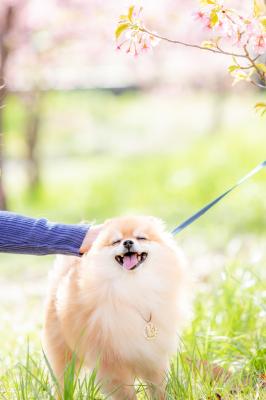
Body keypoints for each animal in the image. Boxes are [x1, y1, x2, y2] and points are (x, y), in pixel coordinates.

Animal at [42, 217, 190, 398]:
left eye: (141, 237)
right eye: (116, 241)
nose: (128, 242)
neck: (133, 284)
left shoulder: (154, 356)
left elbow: (159, 388)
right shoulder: (111, 361)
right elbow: (127, 393)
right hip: (64, 354)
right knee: (62, 382)